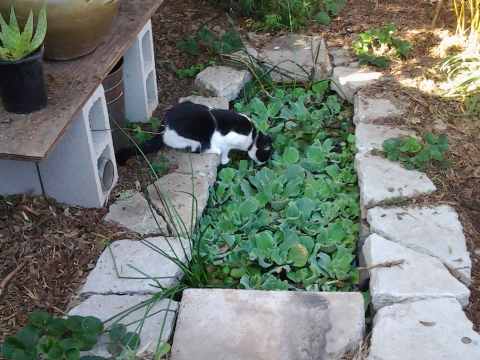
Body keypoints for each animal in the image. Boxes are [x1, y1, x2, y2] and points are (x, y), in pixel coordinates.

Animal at [115, 101, 274, 166]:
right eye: (265, 155)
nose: (263, 164)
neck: (254, 137)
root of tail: (163, 126)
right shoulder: (226, 142)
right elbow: (224, 152)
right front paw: (225, 161)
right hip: (198, 130)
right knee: (198, 149)